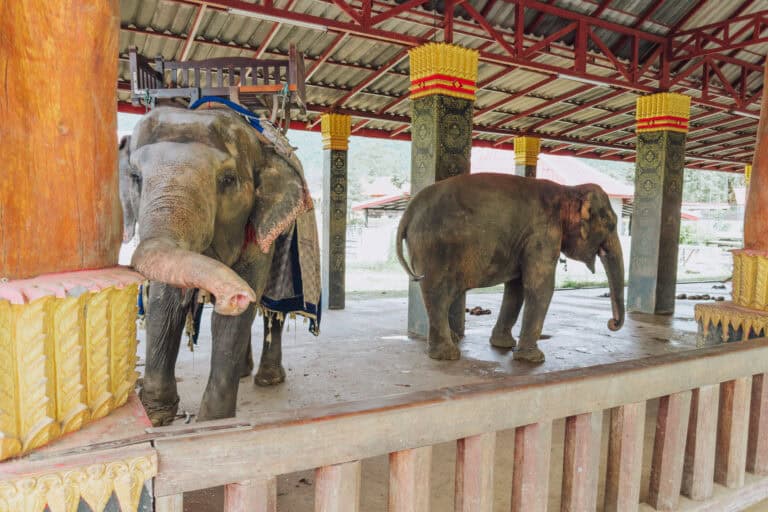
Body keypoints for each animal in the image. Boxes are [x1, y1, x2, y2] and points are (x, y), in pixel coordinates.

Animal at [124, 106, 321, 425]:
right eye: (136, 177)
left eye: (228, 180)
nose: (233, 296)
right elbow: (166, 304)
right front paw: (156, 416)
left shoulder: (258, 227)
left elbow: (230, 321)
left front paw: (212, 423)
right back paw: (244, 372)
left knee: (271, 310)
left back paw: (268, 379)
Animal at [396, 173, 624, 363]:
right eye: (609, 222)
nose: (612, 323)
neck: (567, 190)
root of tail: (408, 212)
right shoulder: (543, 235)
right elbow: (540, 288)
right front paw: (534, 359)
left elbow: (517, 287)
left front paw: (504, 345)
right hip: (435, 249)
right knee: (439, 295)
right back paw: (447, 354)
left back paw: (451, 341)